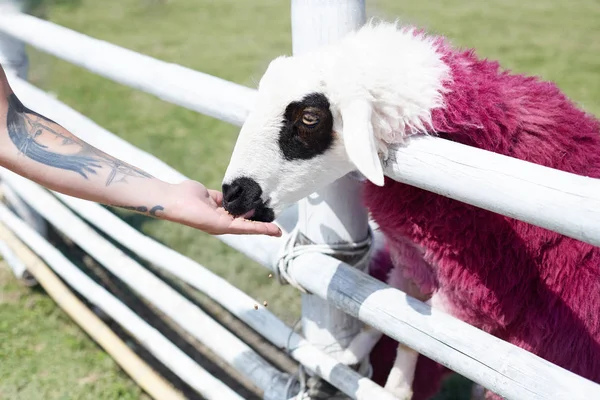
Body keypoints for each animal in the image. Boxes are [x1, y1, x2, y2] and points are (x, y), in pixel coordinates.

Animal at [223, 19, 600, 400]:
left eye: (310, 118)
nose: (231, 194)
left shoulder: (477, 292)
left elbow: (419, 338)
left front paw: (394, 389)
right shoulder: (413, 261)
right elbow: (389, 319)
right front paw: (348, 358)